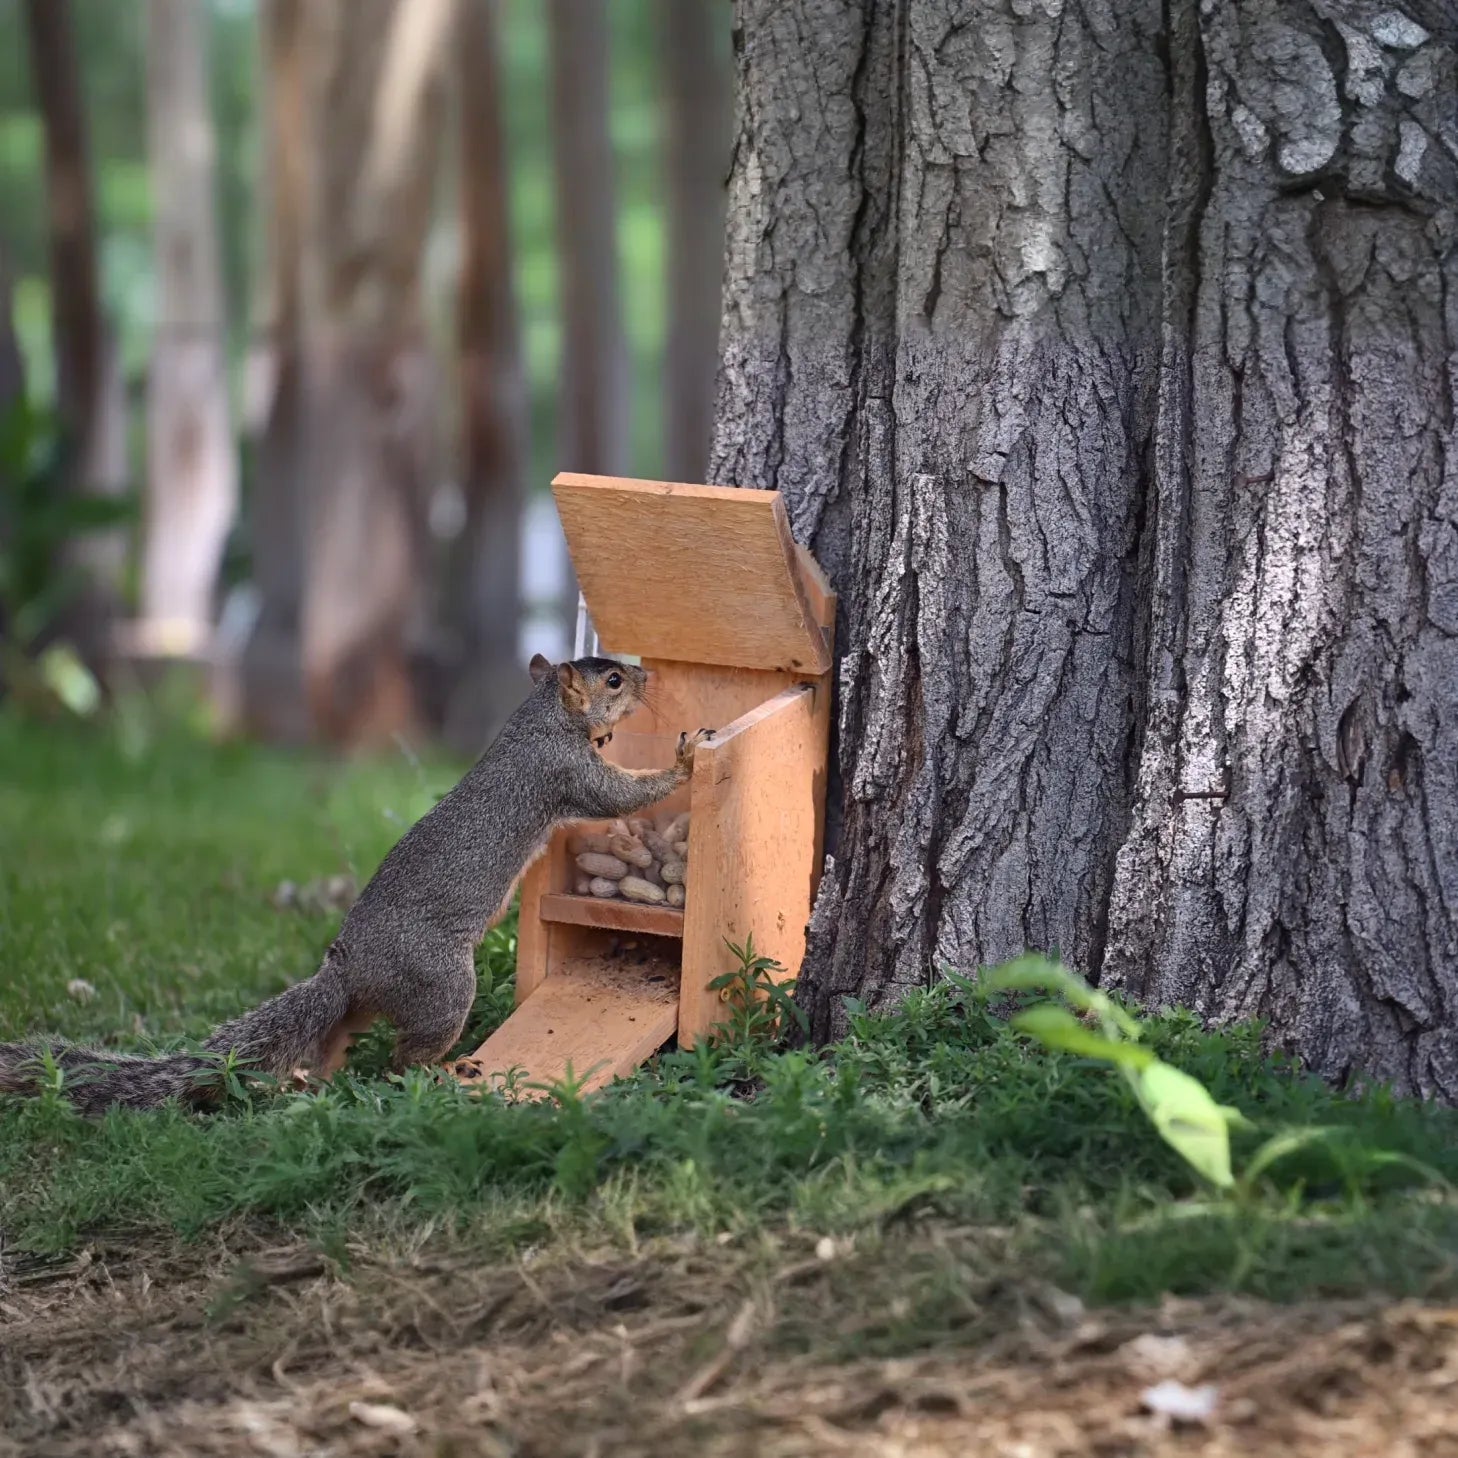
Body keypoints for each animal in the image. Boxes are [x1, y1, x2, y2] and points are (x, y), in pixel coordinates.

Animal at [0, 655, 712, 1116]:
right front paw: (683, 759)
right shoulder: (562, 771)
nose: (646, 677)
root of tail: (348, 967)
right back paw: (442, 1071)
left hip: (369, 1004)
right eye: (613, 679)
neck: (537, 720)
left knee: (336, 1042)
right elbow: (618, 794)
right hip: (440, 985)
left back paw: (308, 1083)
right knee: (402, 1060)